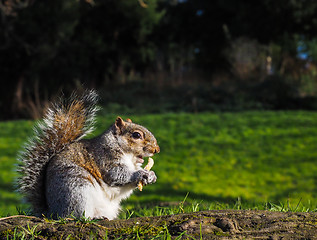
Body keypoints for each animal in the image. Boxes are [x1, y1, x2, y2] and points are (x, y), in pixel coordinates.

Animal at [16, 90, 159, 219]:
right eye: (136, 135)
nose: (156, 150)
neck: (128, 155)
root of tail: (52, 212)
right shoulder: (105, 158)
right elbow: (116, 174)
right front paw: (140, 174)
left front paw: (151, 175)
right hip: (76, 188)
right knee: (76, 216)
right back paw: (92, 218)